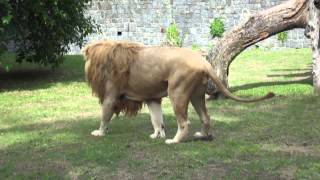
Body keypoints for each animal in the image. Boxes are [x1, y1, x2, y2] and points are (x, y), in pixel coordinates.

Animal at [81, 40, 274, 144]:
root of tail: (203, 62)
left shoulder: (111, 95)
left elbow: (104, 115)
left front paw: (99, 133)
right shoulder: (152, 98)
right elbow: (156, 120)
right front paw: (156, 135)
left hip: (177, 92)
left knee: (184, 122)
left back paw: (174, 141)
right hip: (197, 95)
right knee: (206, 117)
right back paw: (202, 135)